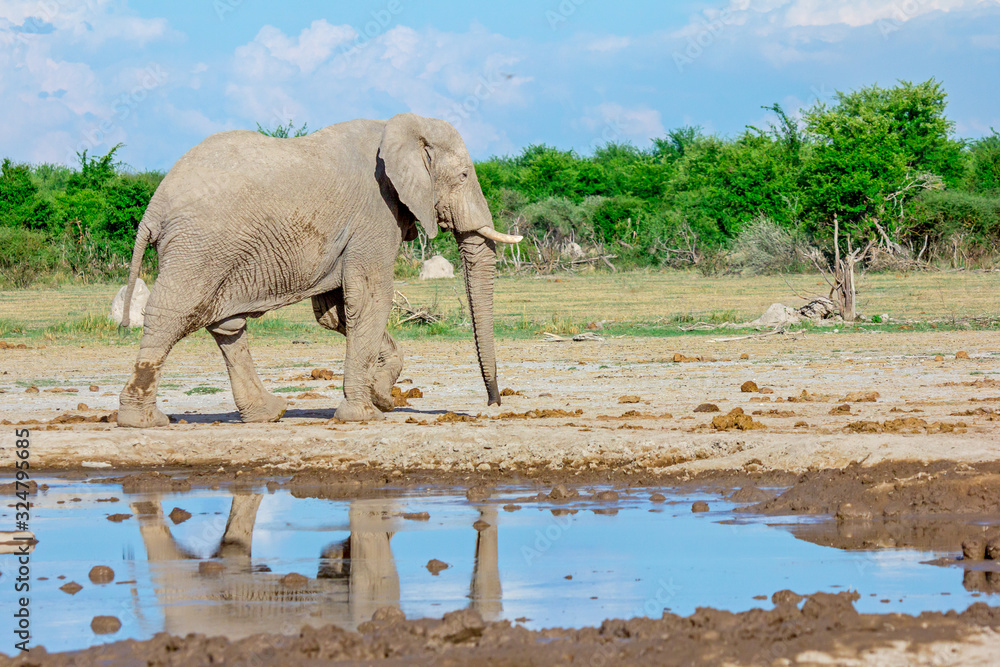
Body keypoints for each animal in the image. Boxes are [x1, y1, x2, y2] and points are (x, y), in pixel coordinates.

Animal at [116, 113, 521, 428]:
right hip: (199, 246)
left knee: (226, 325)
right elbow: (370, 298)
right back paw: (143, 421)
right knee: (172, 313)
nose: (493, 404)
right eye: (465, 175)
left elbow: (335, 313)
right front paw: (365, 414)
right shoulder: (376, 212)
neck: (402, 127)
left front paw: (383, 397)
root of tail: (153, 208)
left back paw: (269, 414)